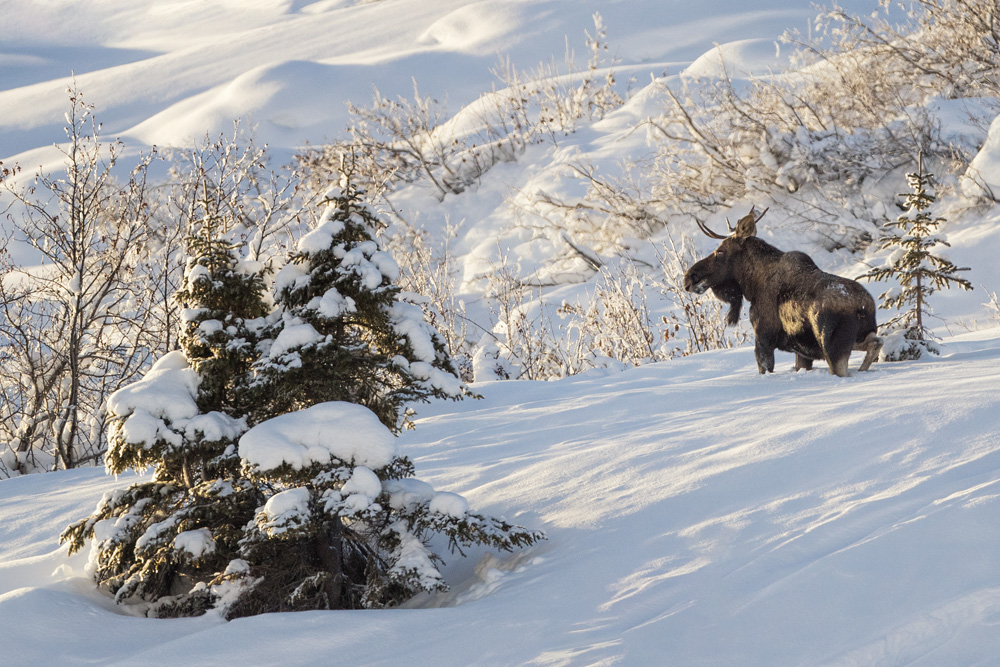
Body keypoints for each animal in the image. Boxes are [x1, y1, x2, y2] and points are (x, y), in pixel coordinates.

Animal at [680, 206, 884, 378]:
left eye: (721, 251)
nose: (689, 278)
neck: (751, 286)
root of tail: (863, 307)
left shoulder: (764, 339)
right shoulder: (802, 352)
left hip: (833, 348)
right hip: (861, 334)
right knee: (876, 342)